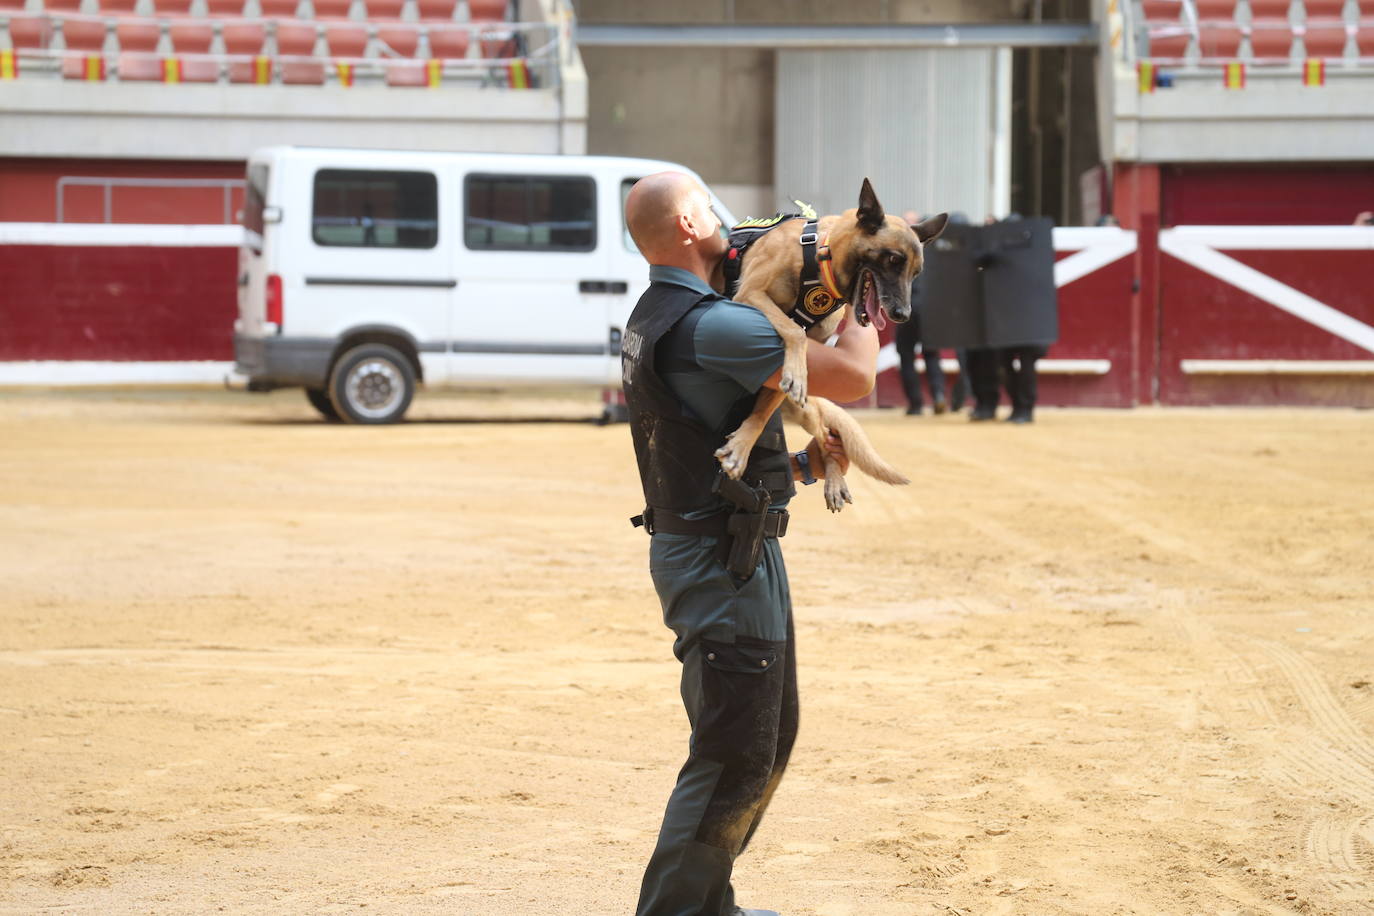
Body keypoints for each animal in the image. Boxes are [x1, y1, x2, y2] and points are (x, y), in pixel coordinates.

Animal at [714, 177, 950, 513]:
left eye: (915, 272)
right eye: (893, 259)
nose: (903, 315)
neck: (818, 262)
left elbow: (762, 411)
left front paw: (743, 443)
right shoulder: (750, 294)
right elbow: (794, 331)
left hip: (804, 412)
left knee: (826, 435)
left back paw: (835, 479)